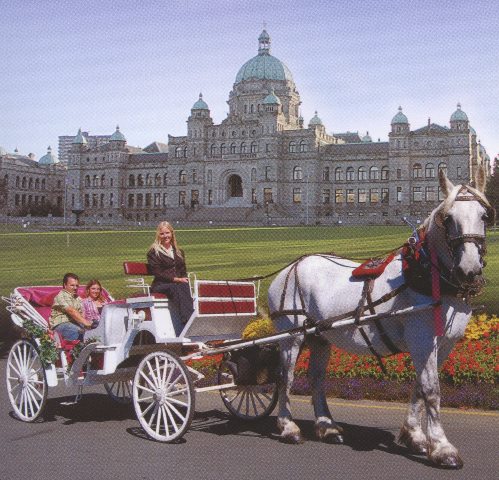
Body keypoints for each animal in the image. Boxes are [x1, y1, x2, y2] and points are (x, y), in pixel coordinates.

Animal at [268, 169, 494, 468]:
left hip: (320, 337)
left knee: (316, 377)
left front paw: (414, 436)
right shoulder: (422, 339)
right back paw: (288, 427)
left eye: (484, 215)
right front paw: (442, 448)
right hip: (291, 336)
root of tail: (289, 267)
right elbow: (432, 390)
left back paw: (327, 426)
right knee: (286, 376)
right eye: (448, 218)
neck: (425, 273)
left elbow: (420, 386)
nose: (469, 271)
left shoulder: (445, 343)